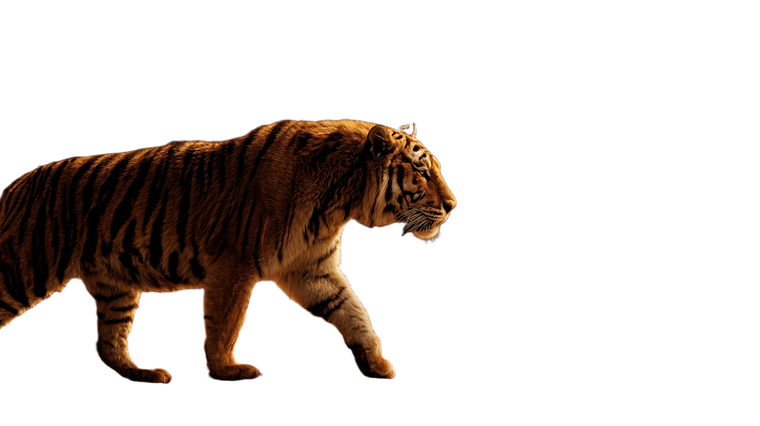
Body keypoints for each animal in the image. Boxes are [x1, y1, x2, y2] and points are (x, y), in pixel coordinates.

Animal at [0, 117, 458, 385]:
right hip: (23, 270)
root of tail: (17, 185)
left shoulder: (312, 270)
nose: (453, 205)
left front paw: (378, 365)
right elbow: (224, 322)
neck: (339, 203)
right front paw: (227, 370)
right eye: (422, 172)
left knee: (108, 343)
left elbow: (354, 313)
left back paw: (146, 374)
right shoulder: (235, 264)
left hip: (117, 289)